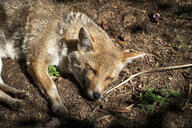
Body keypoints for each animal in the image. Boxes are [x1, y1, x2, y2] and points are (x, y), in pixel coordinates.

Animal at [0, 0, 145, 116]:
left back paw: (17, 95)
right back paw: (15, 102)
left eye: (109, 78)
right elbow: (51, 86)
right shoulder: (36, 62)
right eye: (92, 70)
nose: (96, 96)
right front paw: (58, 105)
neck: (62, 34)